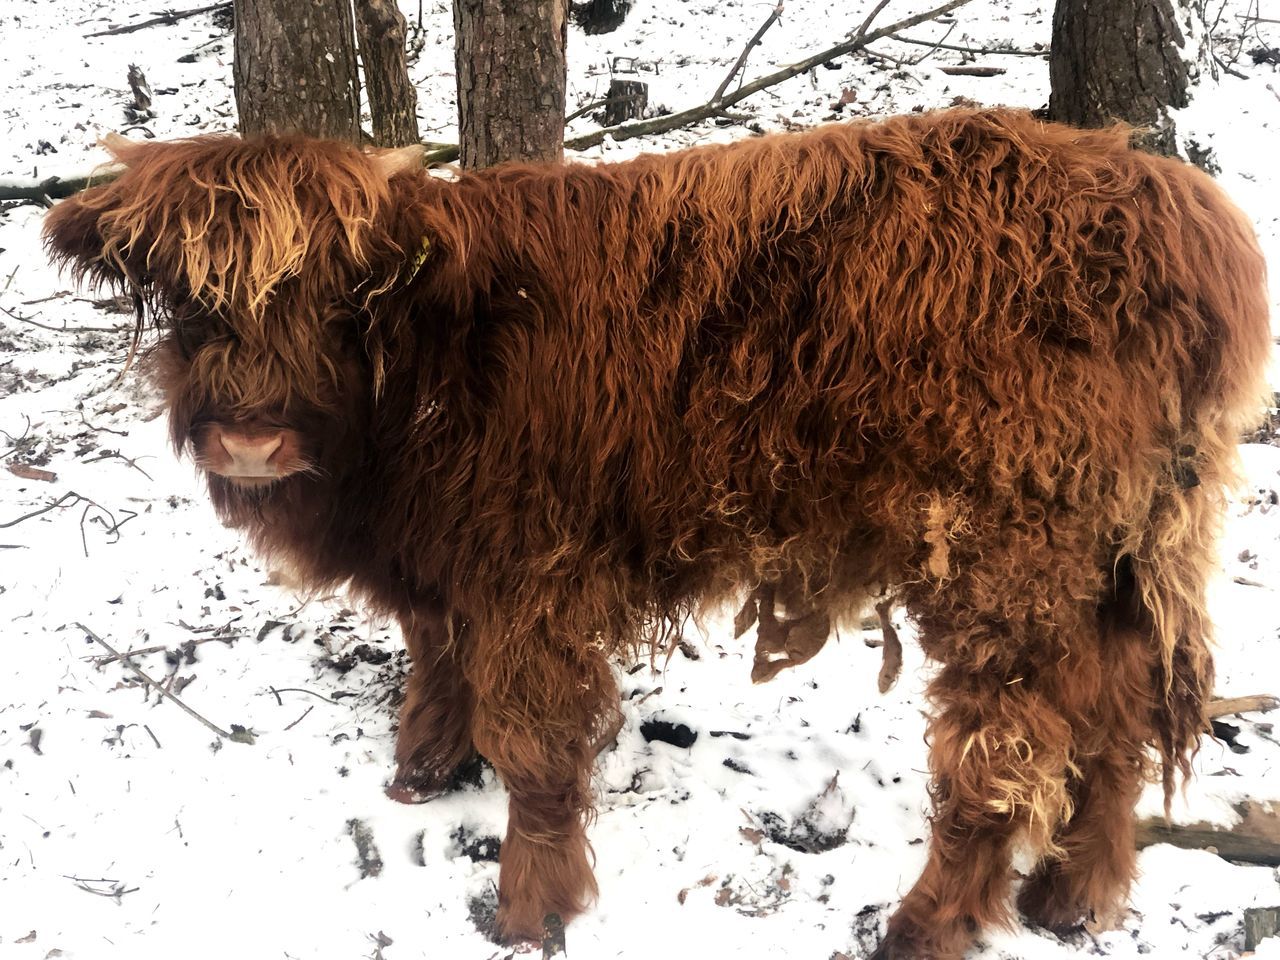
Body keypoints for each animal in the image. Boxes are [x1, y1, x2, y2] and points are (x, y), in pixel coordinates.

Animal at [42, 112, 1269, 960]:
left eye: (337, 294)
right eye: (186, 296)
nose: (250, 438)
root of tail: (1165, 201)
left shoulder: (529, 575)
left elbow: (533, 747)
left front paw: (528, 911)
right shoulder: (445, 568)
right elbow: (436, 661)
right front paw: (420, 773)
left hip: (1006, 565)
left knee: (1000, 756)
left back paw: (924, 927)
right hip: (1113, 559)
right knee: (1117, 715)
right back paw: (1073, 900)